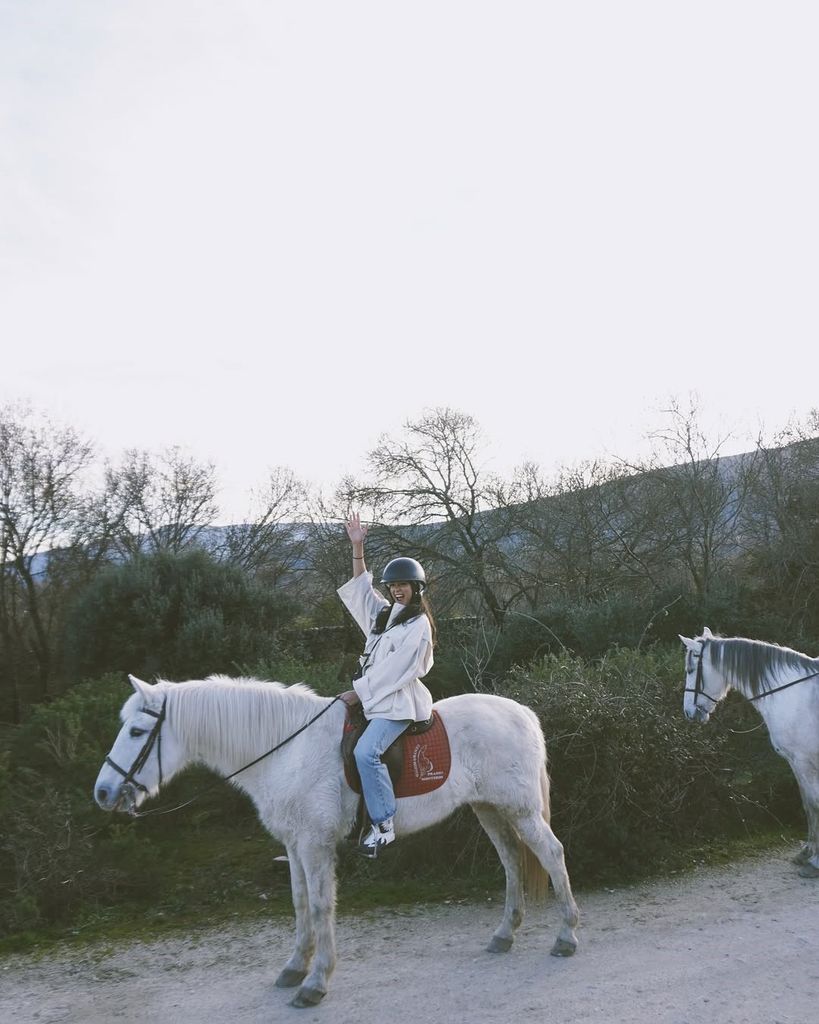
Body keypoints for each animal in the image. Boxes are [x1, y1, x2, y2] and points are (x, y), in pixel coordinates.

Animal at [96, 671, 577, 1007]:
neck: (285, 752)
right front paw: (295, 966)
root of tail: (522, 713)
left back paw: (566, 937)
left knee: (552, 854)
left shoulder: (315, 844)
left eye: (136, 732)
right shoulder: (293, 845)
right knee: (512, 861)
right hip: (488, 809)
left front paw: (315, 982)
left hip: (520, 810)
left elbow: (321, 905)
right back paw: (504, 934)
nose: (102, 792)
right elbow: (299, 903)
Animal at [679, 626, 818, 876]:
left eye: (691, 670)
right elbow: (808, 804)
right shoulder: (797, 763)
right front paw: (808, 854)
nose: (688, 712)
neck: (793, 695)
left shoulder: (804, 761)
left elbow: (814, 803)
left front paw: (814, 860)